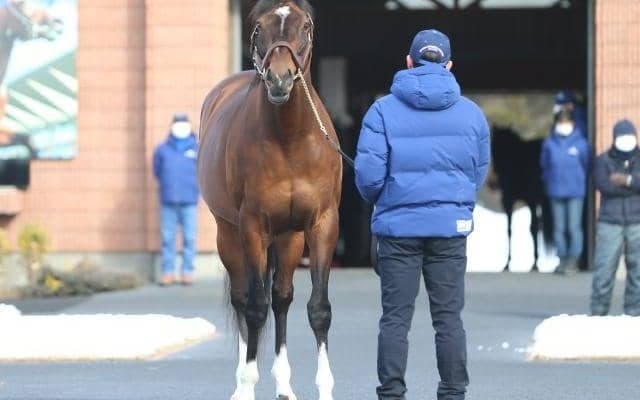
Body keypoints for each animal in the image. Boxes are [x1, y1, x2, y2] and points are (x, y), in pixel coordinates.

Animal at [198, 1, 342, 399]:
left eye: (306, 27)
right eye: (258, 28)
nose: (279, 80)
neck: (289, 139)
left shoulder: (322, 225)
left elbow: (317, 308)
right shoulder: (251, 227)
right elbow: (254, 308)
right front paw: (247, 386)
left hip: (289, 237)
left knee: (281, 297)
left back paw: (284, 386)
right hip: (229, 234)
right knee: (244, 298)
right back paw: (241, 384)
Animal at [491, 126, 553, 272]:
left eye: (496, 144)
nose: (496, 170)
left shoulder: (526, 200)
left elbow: (532, 228)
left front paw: (534, 263)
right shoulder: (511, 201)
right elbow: (510, 230)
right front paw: (507, 264)